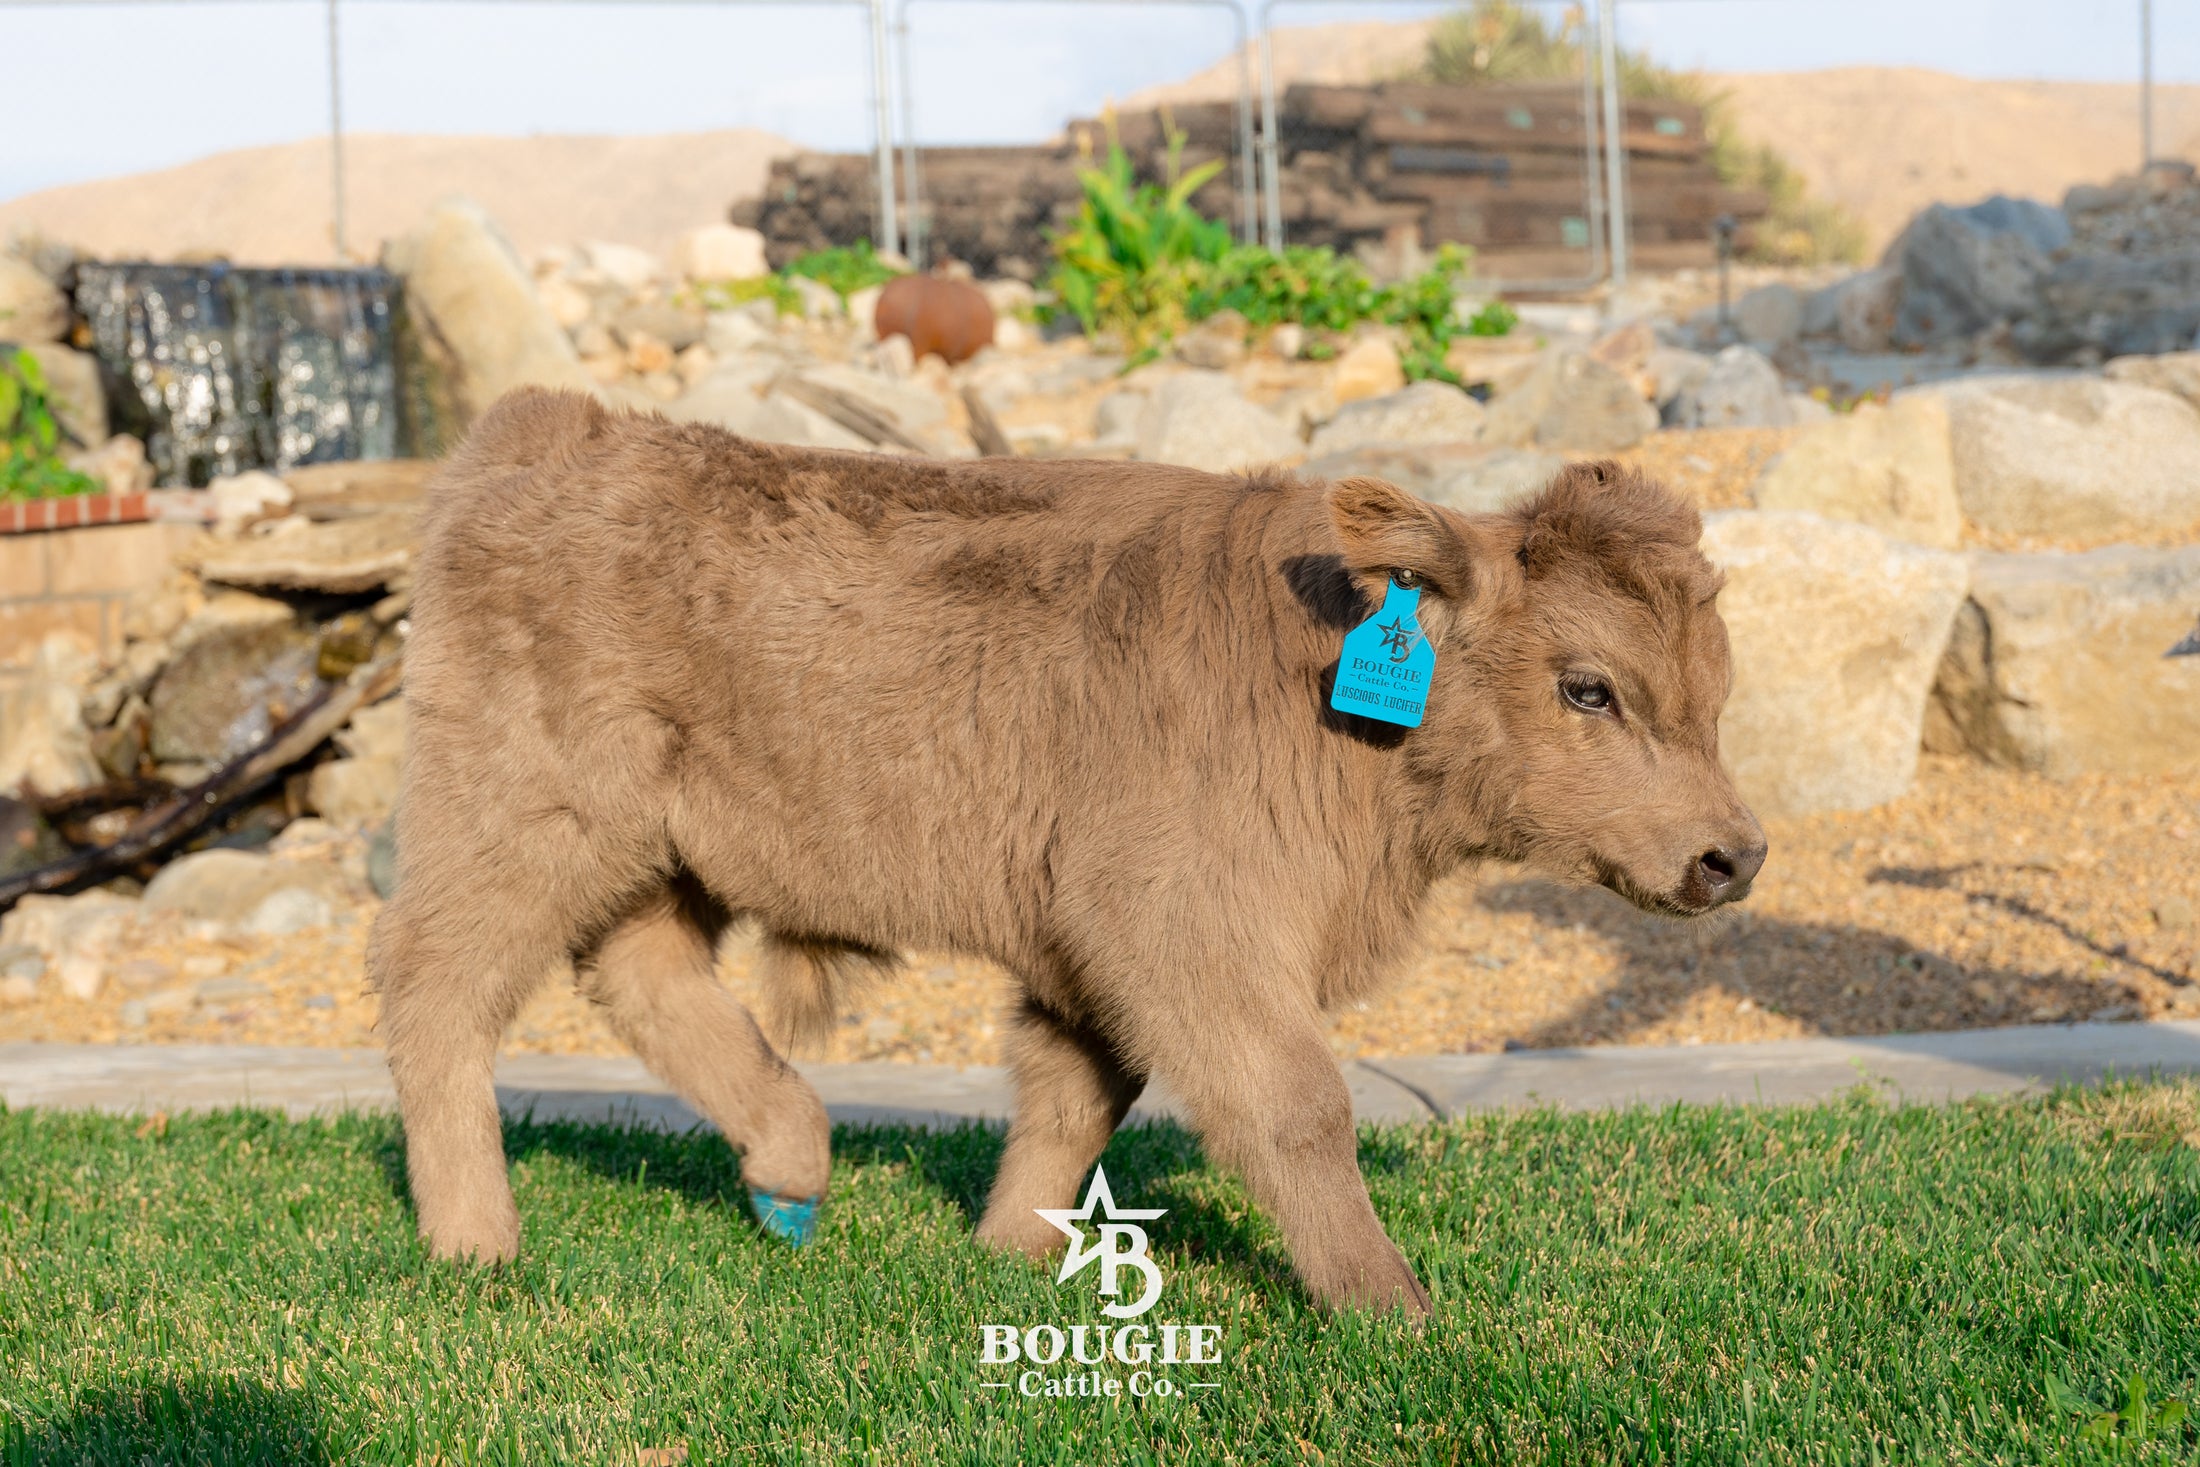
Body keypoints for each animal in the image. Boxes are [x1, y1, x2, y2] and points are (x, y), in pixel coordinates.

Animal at [371, 388, 1765, 1316]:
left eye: (1716, 688)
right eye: (1588, 688)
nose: (1732, 857)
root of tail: (553, 425)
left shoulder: (1088, 950)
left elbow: (1072, 1096)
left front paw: (1005, 1254)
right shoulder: (1183, 930)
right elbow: (1294, 1106)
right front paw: (1396, 1312)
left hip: (667, 854)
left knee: (640, 973)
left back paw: (791, 1164)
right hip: (514, 819)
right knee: (438, 992)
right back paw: (474, 1242)